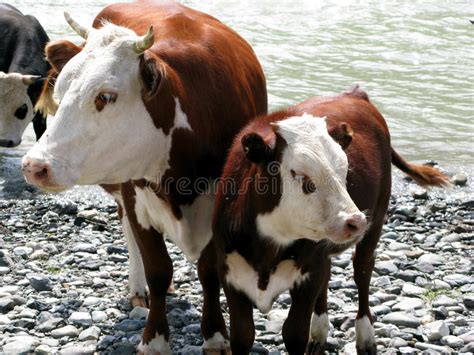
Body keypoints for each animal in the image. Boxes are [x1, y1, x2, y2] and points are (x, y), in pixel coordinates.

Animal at [21, 2, 266, 354]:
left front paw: (215, 335)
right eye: (62, 88)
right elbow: (158, 270)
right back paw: (138, 291)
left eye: (106, 96)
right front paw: (155, 341)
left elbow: (208, 273)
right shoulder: (137, 198)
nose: (34, 165)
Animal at [213, 86, 450, 355]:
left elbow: (294, 333)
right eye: (302, 176)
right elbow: (243, 335)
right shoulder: (229, 272)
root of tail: (354, 94)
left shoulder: (309, 275)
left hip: (376, 221)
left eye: (344, 171)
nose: (355, 221)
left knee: (363, 272)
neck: (267, 250)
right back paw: (319, 335)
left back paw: (365, 338)